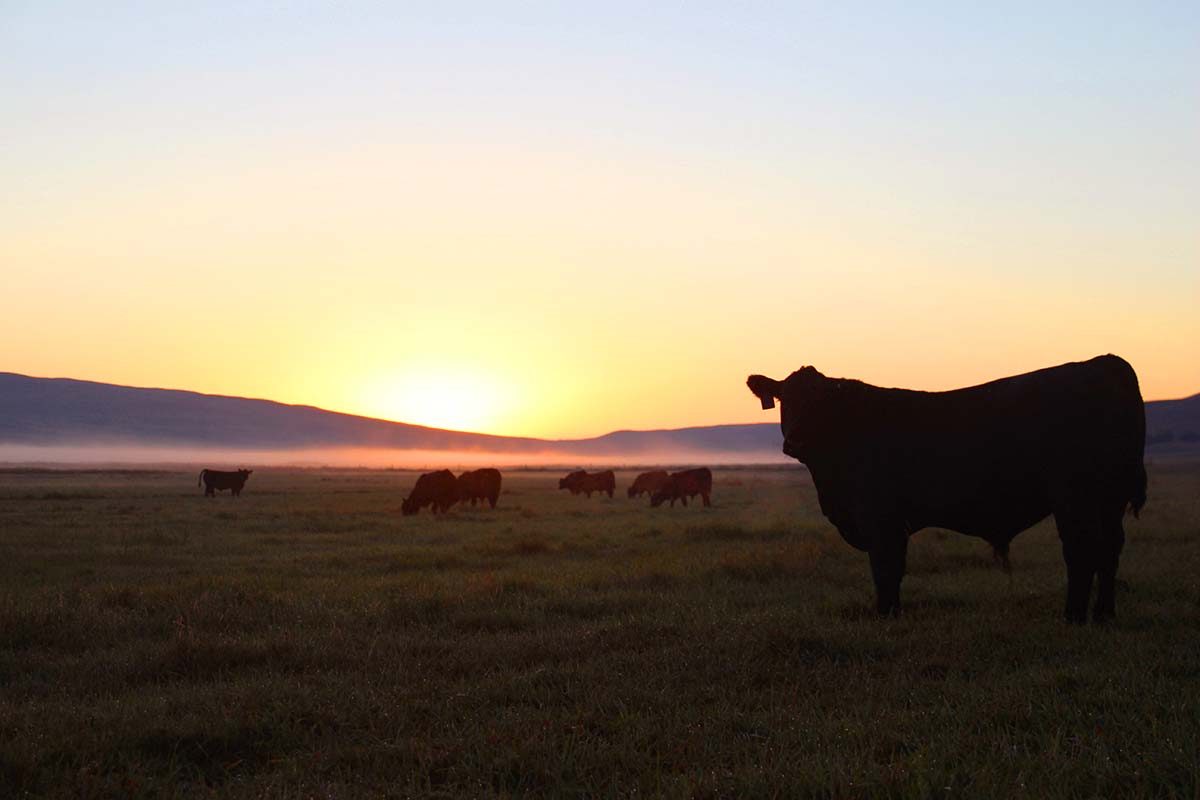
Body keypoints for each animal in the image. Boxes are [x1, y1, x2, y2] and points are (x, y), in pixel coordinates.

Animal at [747, 354, 1146, 623]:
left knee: (1081, 551)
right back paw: (1104, 614)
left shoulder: (881, 518)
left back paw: (1073, 616)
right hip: (1109, 498)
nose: (795, 441)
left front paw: (886, 614)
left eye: (820, 402)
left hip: (1074, 497)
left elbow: (885, 567)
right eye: (784, 400)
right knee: (1109, 550)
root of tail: (1104, 362)